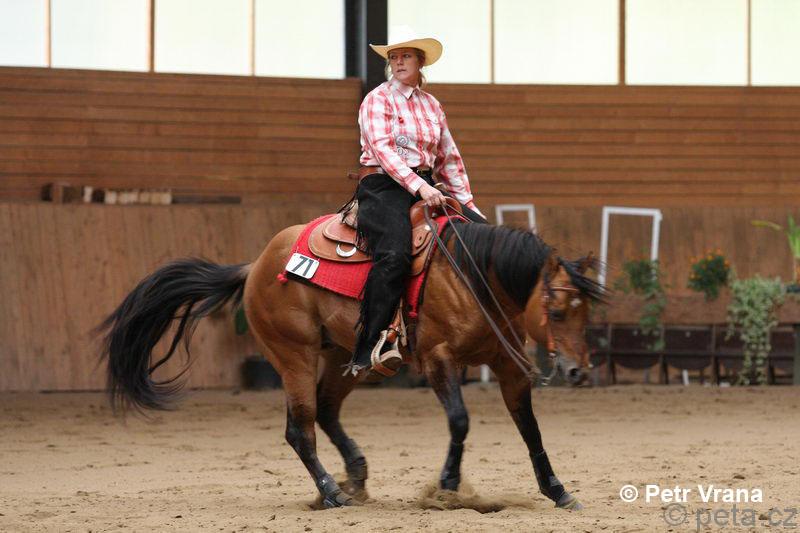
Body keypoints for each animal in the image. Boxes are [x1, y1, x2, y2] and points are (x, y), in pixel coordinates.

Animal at [100, 216, 604, 511]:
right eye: (559, 312)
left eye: (587, 313)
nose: (578, 371)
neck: (472, 276)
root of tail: (256, 265)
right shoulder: (438, 360)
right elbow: (460, 420)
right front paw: (446, 487)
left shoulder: (509, 366)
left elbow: (529, 429)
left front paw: (557, 490)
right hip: (295, 357)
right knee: (300, 427)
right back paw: (332, 492)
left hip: (346, 354)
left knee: (325, 410)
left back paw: (356, 475)